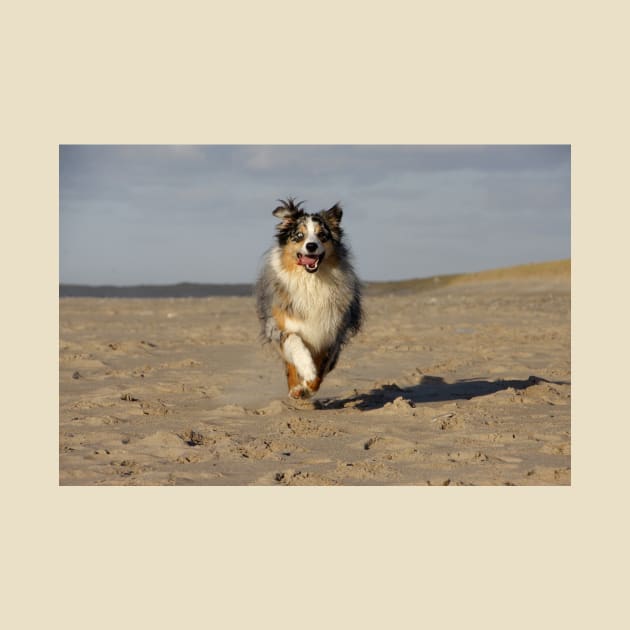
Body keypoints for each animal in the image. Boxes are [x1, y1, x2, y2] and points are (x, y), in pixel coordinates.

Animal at [256, 198, 366, 400]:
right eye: (299, 235)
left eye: (322, 235)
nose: (311, 246)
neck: (311, 281)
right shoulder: (282, 327)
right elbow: (296, 346)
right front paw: (306, 372)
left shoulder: (330, 333)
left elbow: (321, 369)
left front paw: (309, 386)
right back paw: (295, 388)